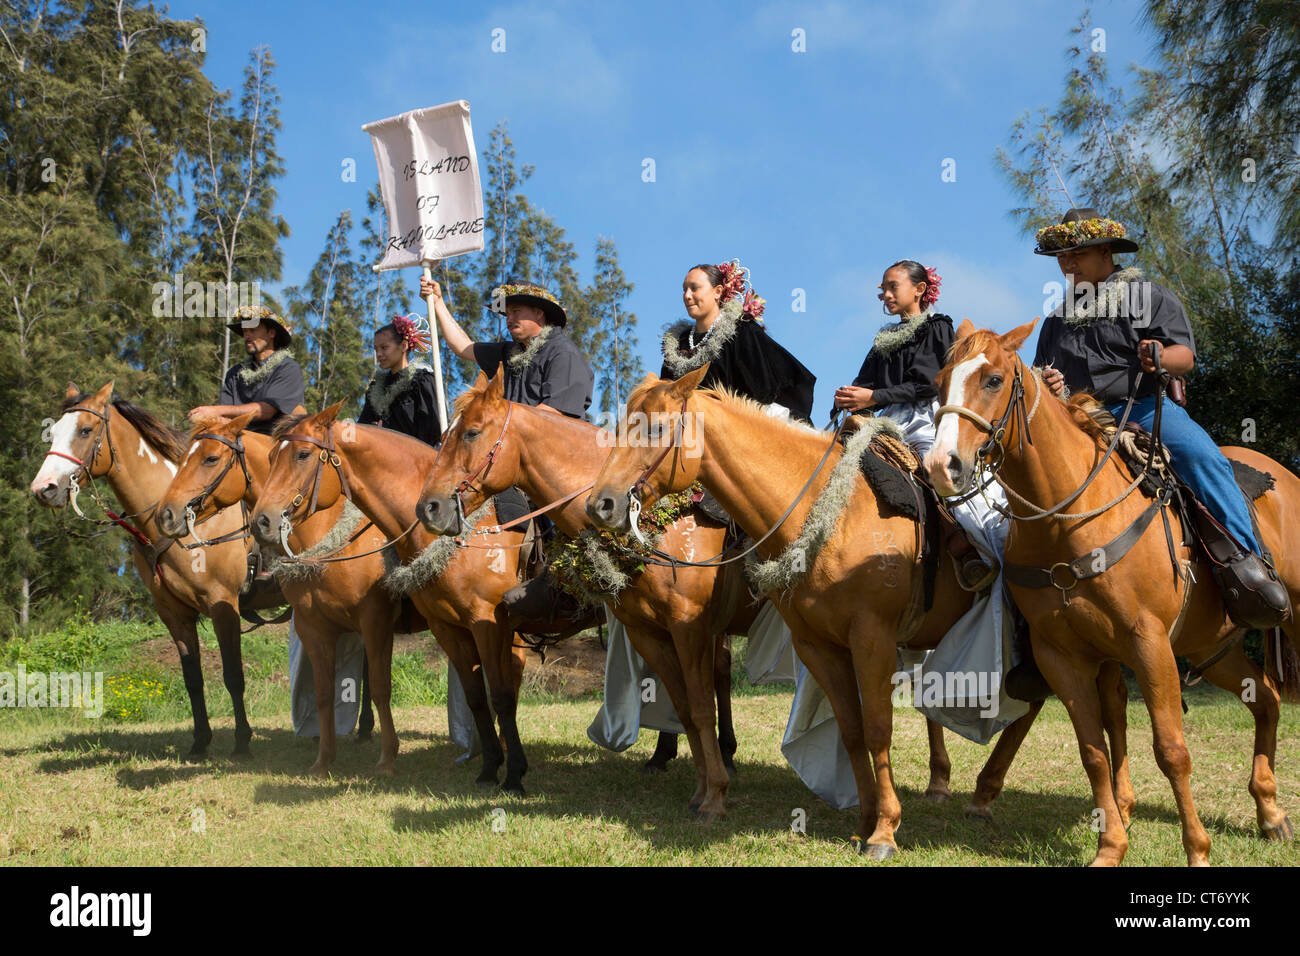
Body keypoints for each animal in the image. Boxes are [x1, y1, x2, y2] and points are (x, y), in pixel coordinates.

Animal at [30, 385, 262, 759]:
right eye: (53, 432)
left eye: (85, 430)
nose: (43, 488)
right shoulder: (174, 614)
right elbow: (193, 679)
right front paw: (200, 741)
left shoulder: (223, 605)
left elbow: (232, 675)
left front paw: (242, 741)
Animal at [154, 413, 416, 780]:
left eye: (210, 458)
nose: (165, 514)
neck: (327, 536)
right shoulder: (313, 626)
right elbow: (323, 693)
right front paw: (323, 761)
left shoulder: (375, 620)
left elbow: (380, 687)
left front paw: (388, 758)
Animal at [585, 366, 1040, 858]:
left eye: (656, 428)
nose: (600, 504)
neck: (832, 512)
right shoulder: (817, 645)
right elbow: (852, 730)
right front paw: (863, 822)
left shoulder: (872, 639)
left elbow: (878, 728)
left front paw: (885, 832)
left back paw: (983, 795)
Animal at [930, 321, 1294, 868]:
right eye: (939, 384)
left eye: (993, 379)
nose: (941, 466)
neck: (1070, 518)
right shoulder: (1062, 656)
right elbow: (1094, 751)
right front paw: (1111, 845)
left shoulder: (1149, 644)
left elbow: (1171, 750)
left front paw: (1197, 851)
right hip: (1210, 646)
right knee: (1266, 698)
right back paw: (1270, 813)